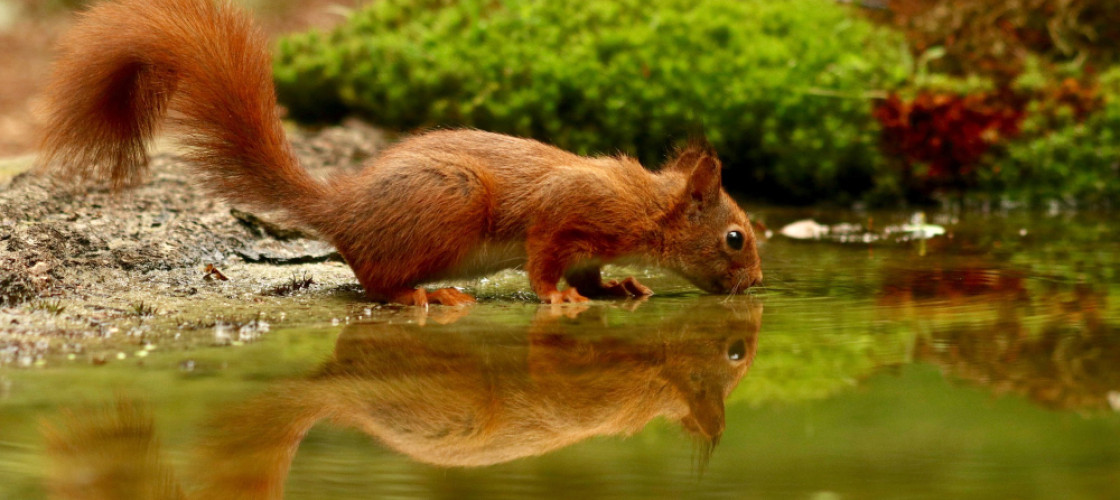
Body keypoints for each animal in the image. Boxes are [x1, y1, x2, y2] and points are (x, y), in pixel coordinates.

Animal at [39, 0, 766, 304]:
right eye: (735, 237)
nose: (758, 283)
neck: (645, 205)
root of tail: (341, 209)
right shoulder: (566, 213)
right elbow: (543, 261)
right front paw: (560, 299)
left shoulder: (591, 244)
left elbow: (591, 273)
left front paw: (621, 286)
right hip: (448, 206)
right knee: (376, 283)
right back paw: (429, 298)